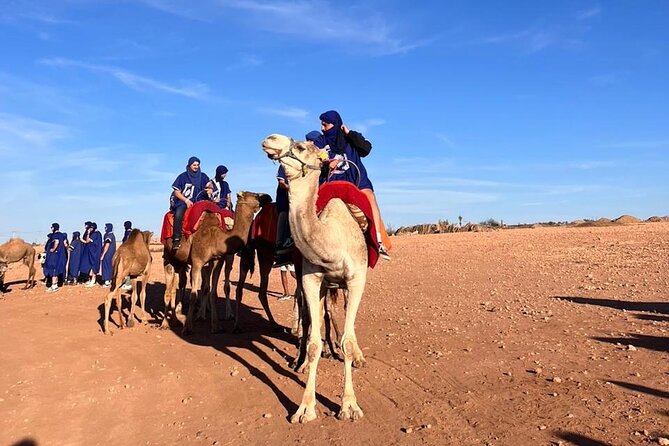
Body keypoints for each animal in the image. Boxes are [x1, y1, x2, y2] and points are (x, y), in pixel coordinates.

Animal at [262, 134, 369, 423]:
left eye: (300, 147)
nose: (269, 139)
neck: (331, 242)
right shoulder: (311, 279)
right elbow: (313, 343)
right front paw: (305, 408)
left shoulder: (356, 279)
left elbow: (348, 340)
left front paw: (349, 405)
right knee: (315, 316)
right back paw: (300, 362)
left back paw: (355, 356)